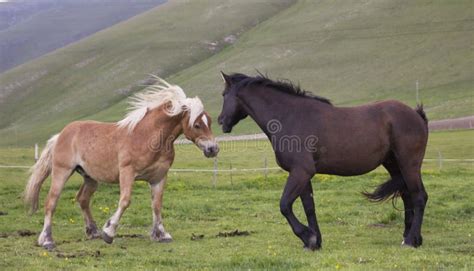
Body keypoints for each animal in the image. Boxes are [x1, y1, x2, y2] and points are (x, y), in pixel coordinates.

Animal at [24, 77, 218, 251]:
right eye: (197, 124)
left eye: (210, 121)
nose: (213, 149)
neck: (147, 137)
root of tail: (61, 134)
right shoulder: (127, 173)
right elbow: (125, 201)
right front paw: (108, 232)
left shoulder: (159, 177)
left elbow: (157, 205)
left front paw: (161, 234)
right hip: (62, 171)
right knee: (51, 202)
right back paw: (47, 240)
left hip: (90, 178)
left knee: (83, 199)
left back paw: (92, 231)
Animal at [218, 72, 430, 251]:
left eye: (223, 94)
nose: (221, 121)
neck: (290, 117)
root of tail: (416, 114)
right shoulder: (303, 175)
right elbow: (309, 208)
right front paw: (314, 242)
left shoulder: (301, 172)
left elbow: (285, 205)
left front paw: (307, 236)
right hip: (394, 165)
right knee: (406, 195)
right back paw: (408, 236)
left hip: (409, 165)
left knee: (419, 196)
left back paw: (411, 240)